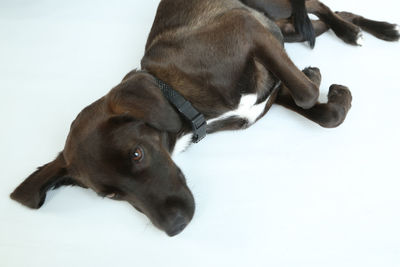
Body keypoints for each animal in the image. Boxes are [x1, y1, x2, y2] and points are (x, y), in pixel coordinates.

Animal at [10, 0, 398, 239]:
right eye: (111, 196)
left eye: (137, 154)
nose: (175, 227)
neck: (180, 97)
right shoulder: (270, 93)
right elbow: (325, 112)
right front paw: (328, 92)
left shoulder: (245, 26)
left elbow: (306, 92)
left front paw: (315, 77)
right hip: (279, 21)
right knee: (310, 24)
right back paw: (357, 30)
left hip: (272, 5)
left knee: (316, 9)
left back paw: (364, 30)